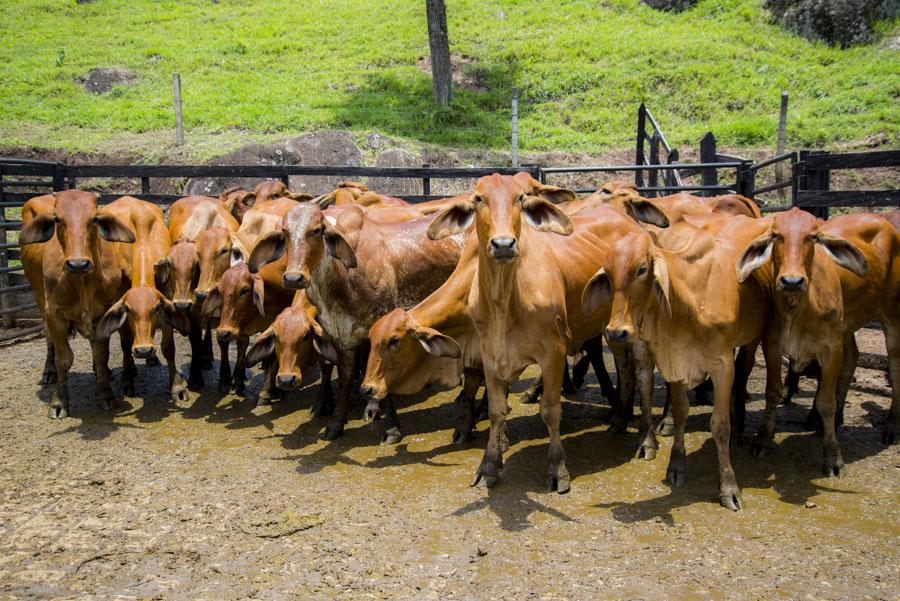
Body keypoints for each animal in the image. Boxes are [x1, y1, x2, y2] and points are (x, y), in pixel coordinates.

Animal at [19, 191, 136, 418]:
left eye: (94, 219)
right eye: (58, 220)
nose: (77, 264)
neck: (83, 283)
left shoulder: (103, 313)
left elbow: (101, 355)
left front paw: (105, 394)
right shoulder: (54, 314)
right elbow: (64, 358)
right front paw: (59, 403)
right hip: (39, 297)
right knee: (48, 338)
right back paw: (49, 372)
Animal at [94, 197, 191, 400]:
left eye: (155, 309)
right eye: (129, 311)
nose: (144, 349)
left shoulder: (166, 291)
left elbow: (168, 346)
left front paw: (177, 387)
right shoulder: (120, 294)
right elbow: (125, 344)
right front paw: (127, 381)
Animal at [250, 204, 468, 438]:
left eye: (316, 230)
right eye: (285, 232)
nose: (293, 278)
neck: (341, 283)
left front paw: (390, 427)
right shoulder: (342, 338)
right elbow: (344, 378)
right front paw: (335, 424)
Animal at [584, 213, 780, 508]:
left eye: (642, 269)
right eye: (607, 273)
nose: (617, 331)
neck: (692, 297)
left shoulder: (722, 365)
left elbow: (719, 424)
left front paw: (729, 487)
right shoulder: (674, 361)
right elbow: (680, 413)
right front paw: (676, 465)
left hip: (752, 339)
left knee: (743, 377)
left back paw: (740, 431)